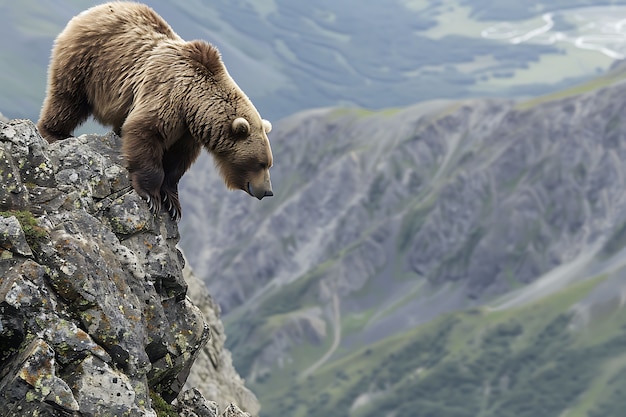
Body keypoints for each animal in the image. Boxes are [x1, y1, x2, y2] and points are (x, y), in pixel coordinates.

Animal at [37, 1, 272, 221]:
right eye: (260, 163)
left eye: (269, 163)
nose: (268, 191)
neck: (194, 104)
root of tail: (96, 9)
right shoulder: (169, 96)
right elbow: (145, 132)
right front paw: (152, 196)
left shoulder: (187, 131)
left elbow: (177, 162)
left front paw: (173, 203)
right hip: (88, 61)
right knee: (67, 99)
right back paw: (55, 133)